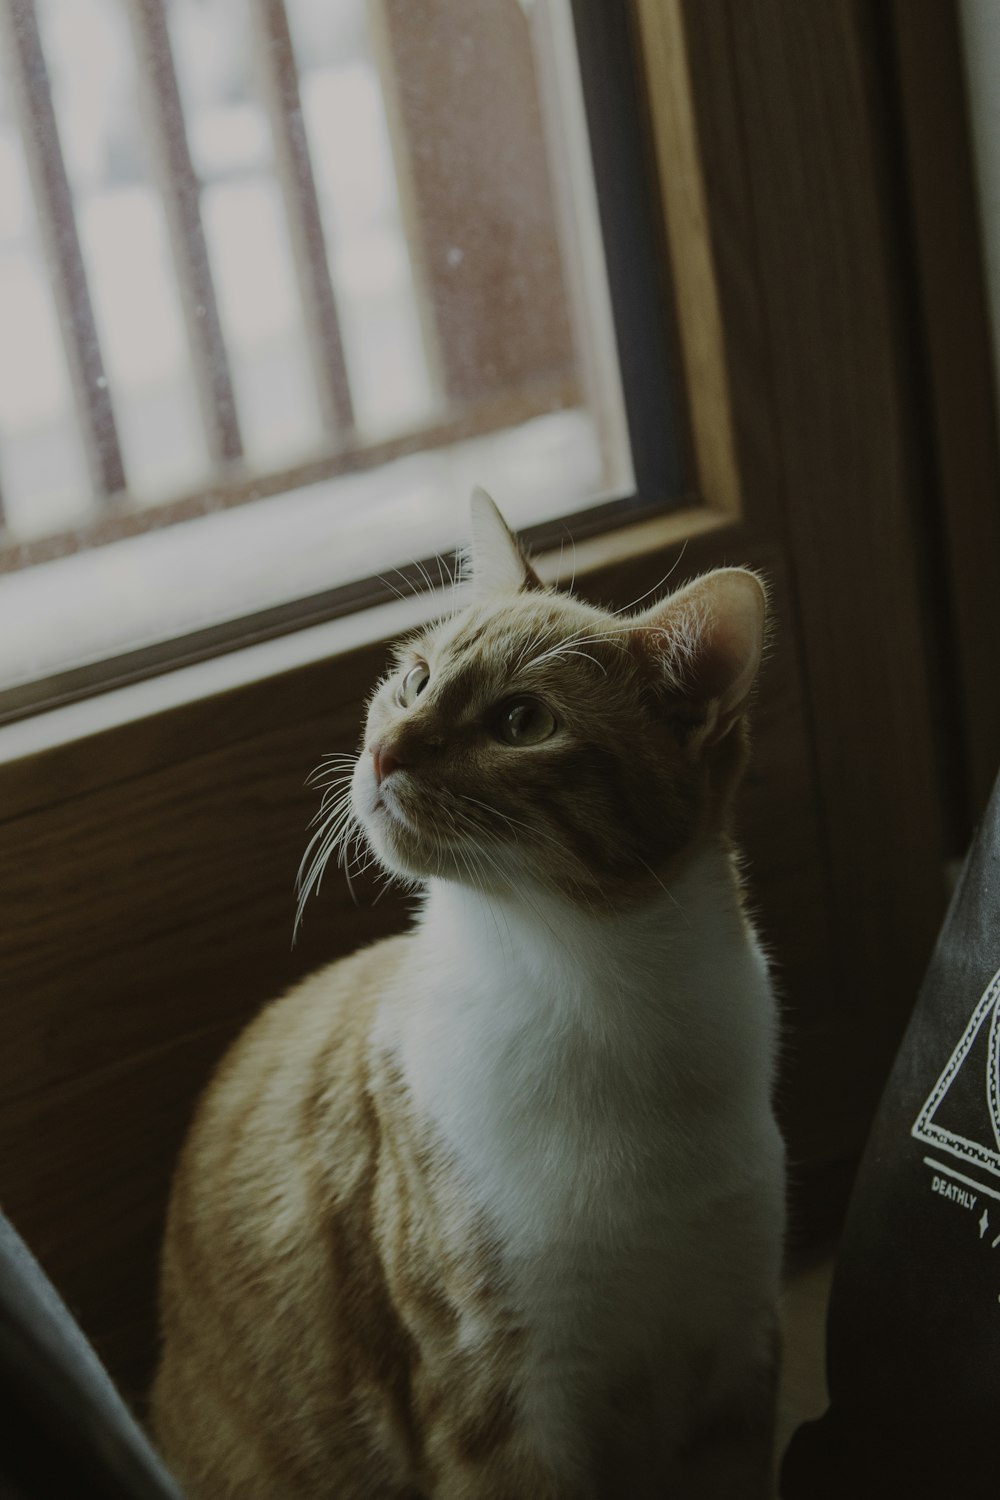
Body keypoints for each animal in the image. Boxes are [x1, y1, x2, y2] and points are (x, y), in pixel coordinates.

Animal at [152, 492, 785, 1500]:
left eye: (522, 722)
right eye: (413, 681)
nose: (383, 751)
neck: (594, 990)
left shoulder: (735, 1358)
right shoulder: (500, 1404)